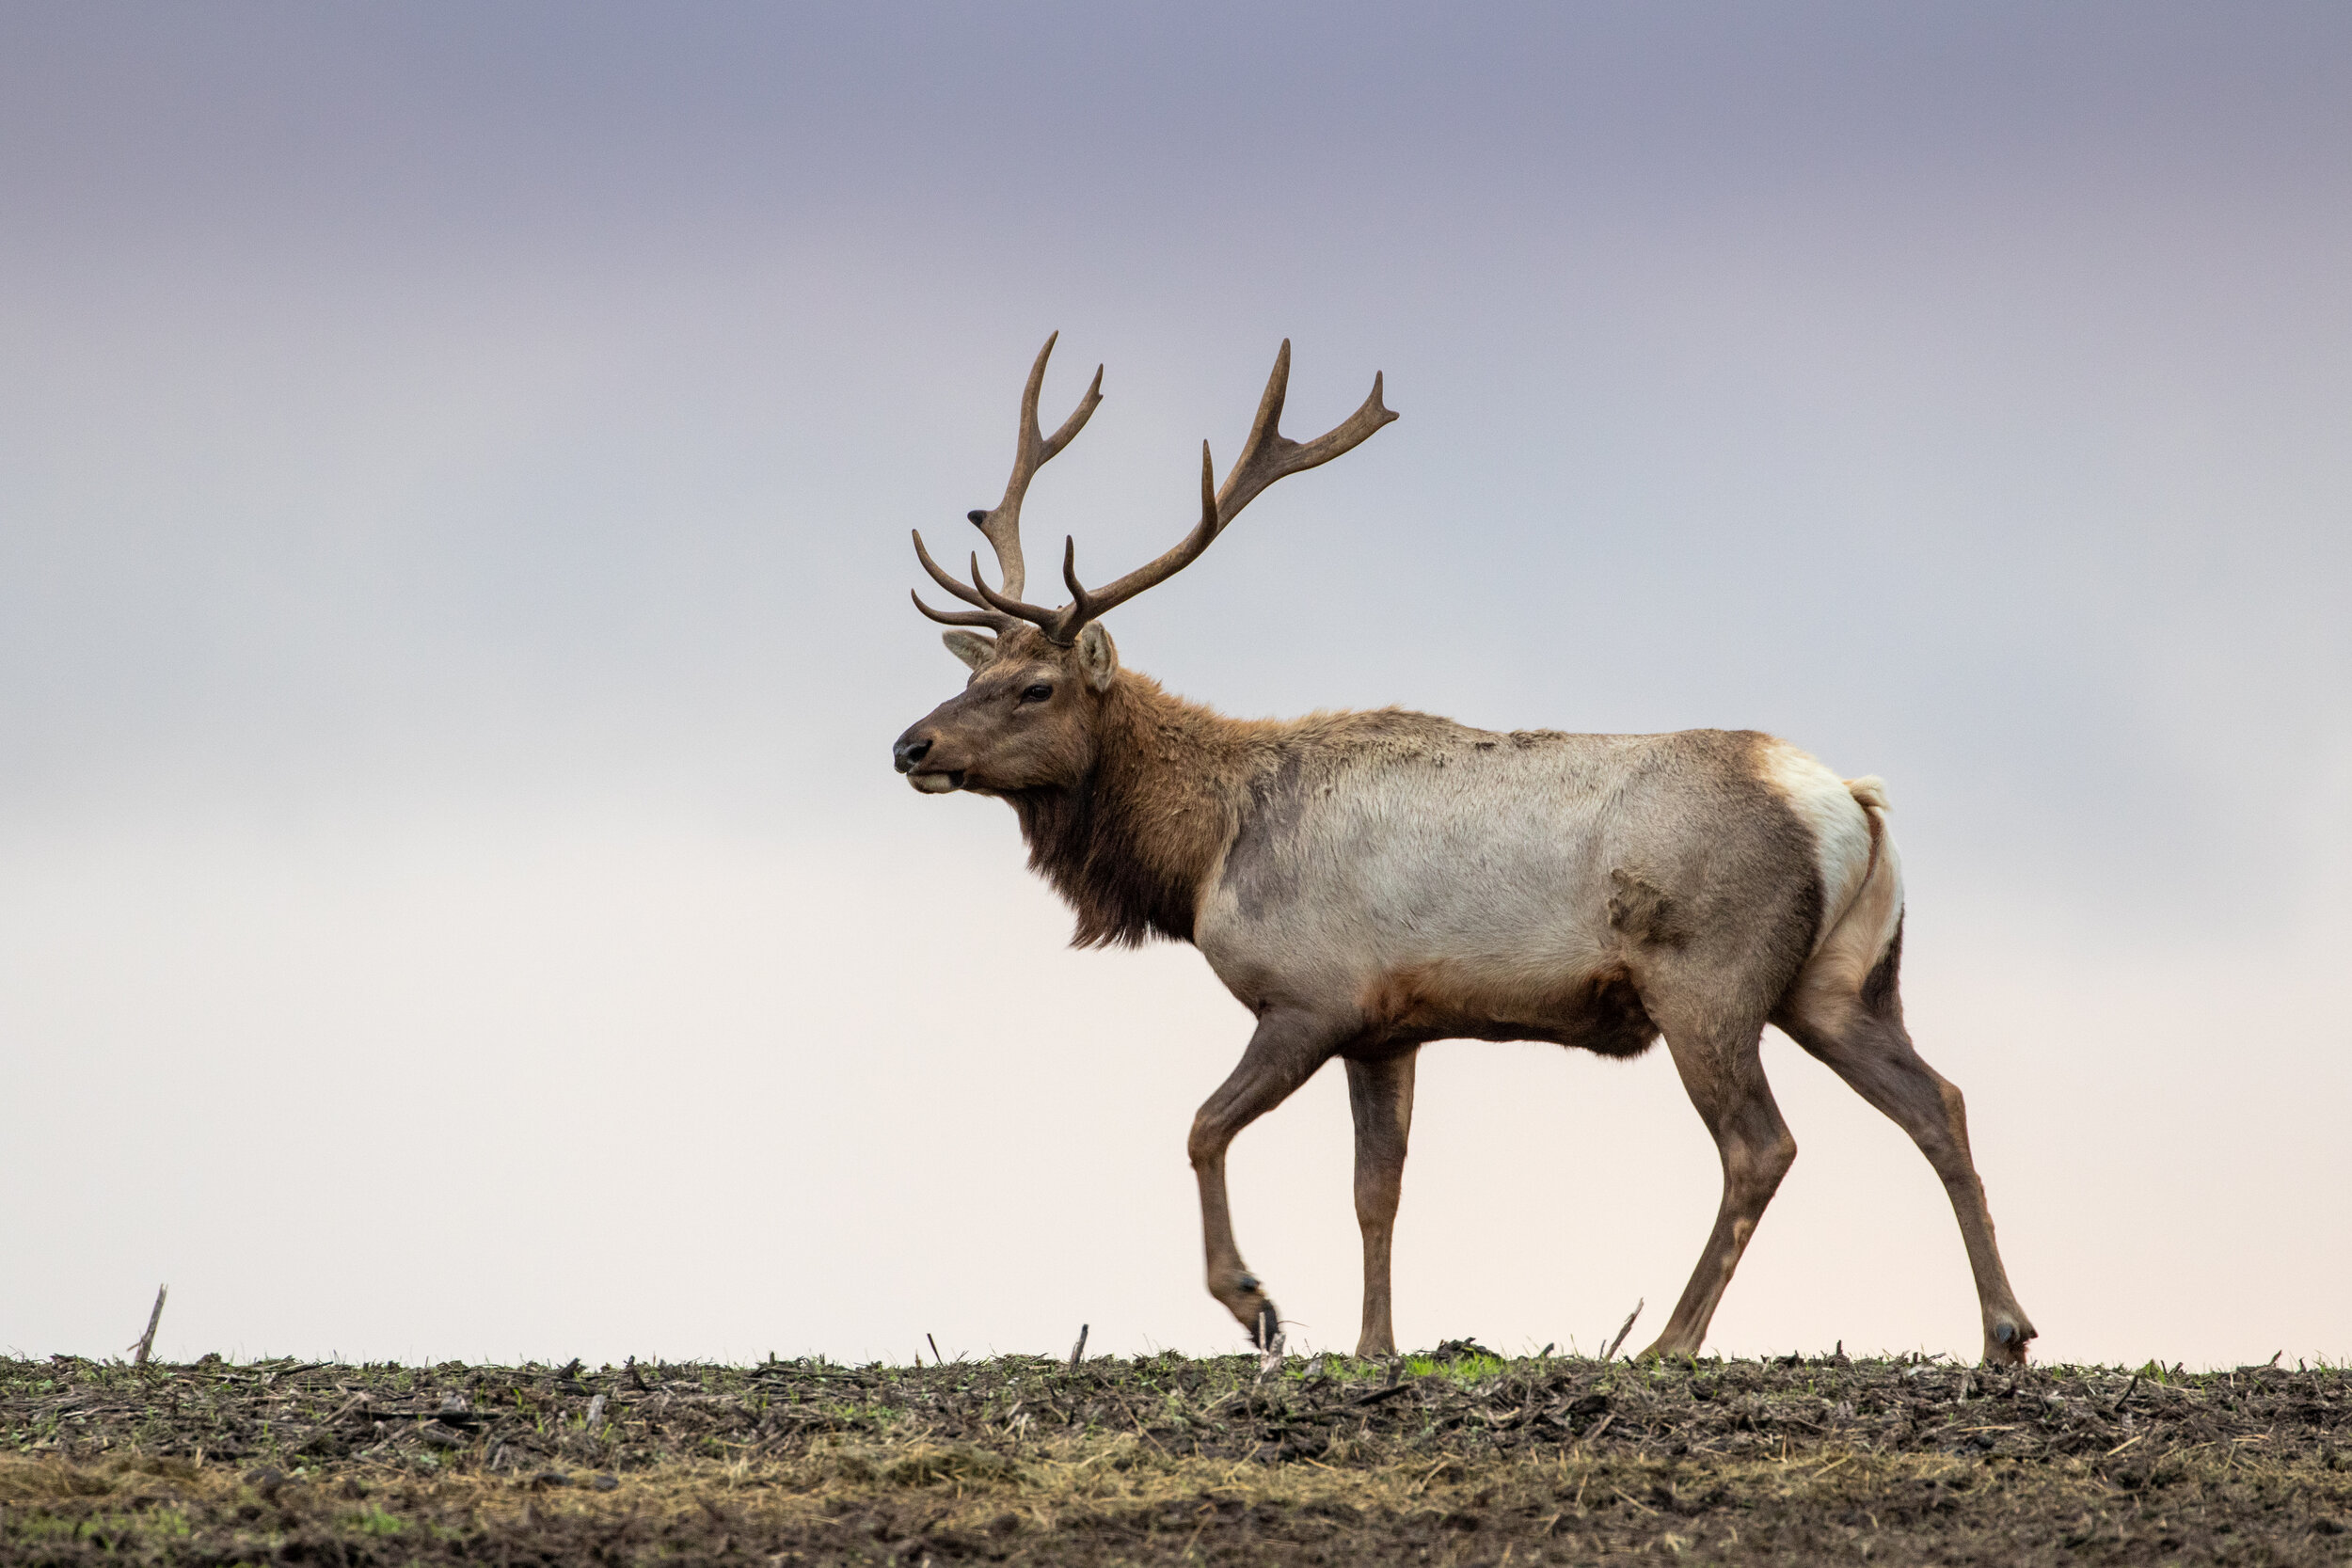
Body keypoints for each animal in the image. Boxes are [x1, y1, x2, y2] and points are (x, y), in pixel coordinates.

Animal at [889, 338, 2032, 1363]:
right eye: (972, 672)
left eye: (1035, 686)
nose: (911, 744)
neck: (1204, 853)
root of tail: (1850, 803)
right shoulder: (1386, 1026)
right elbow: (1376, 1189)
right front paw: (1373, 1343)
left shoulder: (1310, 994)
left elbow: (1204, 1126)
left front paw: (1256, 1303)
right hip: (1839, 980)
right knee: (1938, 1100)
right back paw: (2005, 1331)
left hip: (1708, 977)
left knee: (1763, 1144)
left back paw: (1670, 1338)